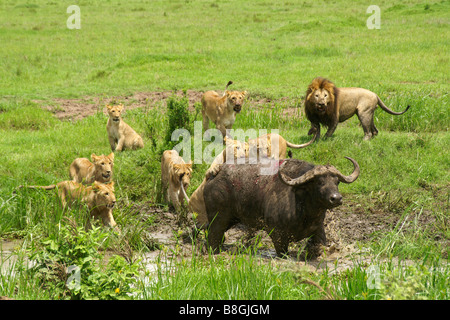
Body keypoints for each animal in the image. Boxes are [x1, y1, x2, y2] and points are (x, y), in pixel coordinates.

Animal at [203, 158, 358, 258]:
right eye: (319, 182)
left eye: (337, 182)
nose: (336, 198)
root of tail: (213, 176)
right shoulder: (277, 235)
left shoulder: (318, 230)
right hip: (218, 219)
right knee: (213, 238)